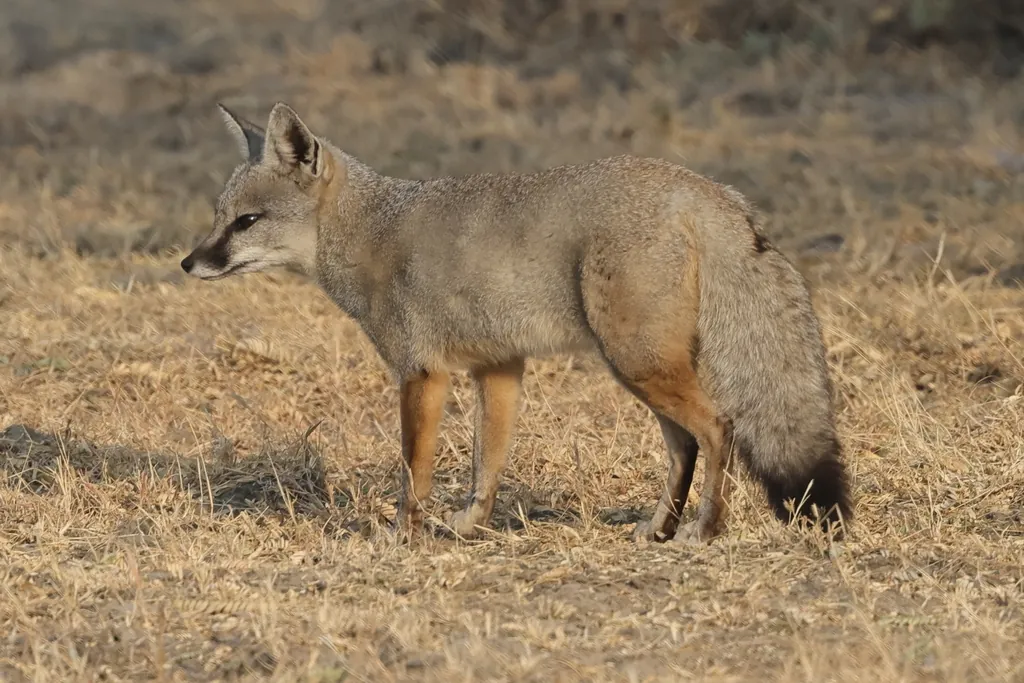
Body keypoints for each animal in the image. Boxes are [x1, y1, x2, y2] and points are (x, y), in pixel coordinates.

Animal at [181, 102, 852, 544]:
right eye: (218, 217)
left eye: (246, 222)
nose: (188, 263)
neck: (374, 232)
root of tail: (703, 188)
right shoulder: (498, 368)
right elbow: (489, 462)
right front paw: (470, 526)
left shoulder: (422, 373)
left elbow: (414, 471)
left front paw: (402, 535)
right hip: (639, 369)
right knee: (685, 443)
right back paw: (661, 528)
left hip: (639, 363)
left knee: (719, 429)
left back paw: (705, 530)